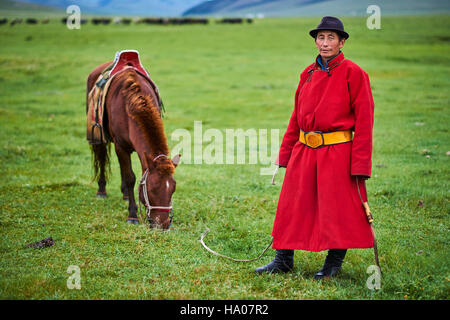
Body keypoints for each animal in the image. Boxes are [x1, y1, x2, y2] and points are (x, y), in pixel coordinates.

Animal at [86, 62, 179, 229]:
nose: (162, 225)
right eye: (152, 189)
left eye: (173, 189)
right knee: (102, 158)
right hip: (99, 137)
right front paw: (132, 215)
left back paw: (124, 194)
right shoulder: (120, 146)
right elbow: (130, 178)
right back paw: (102, 190)